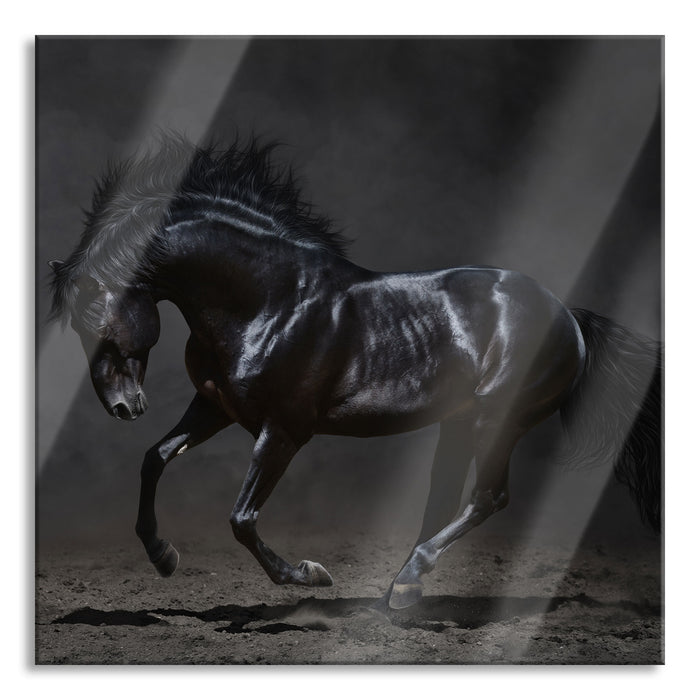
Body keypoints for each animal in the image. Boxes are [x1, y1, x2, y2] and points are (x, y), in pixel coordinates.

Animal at [48, 135, 662, 611]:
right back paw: (400, 592)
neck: (268, 300)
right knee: (447, 499)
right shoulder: (215, 407)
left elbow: (241, 517)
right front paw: (164, 556)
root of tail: (567, 315)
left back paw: (407, 584)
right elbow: (154, 459)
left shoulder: (284, 430)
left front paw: (308, 575)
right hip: (459, 423)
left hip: (497, 419)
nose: (122, 406)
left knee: (489, 497)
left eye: (97, 315)